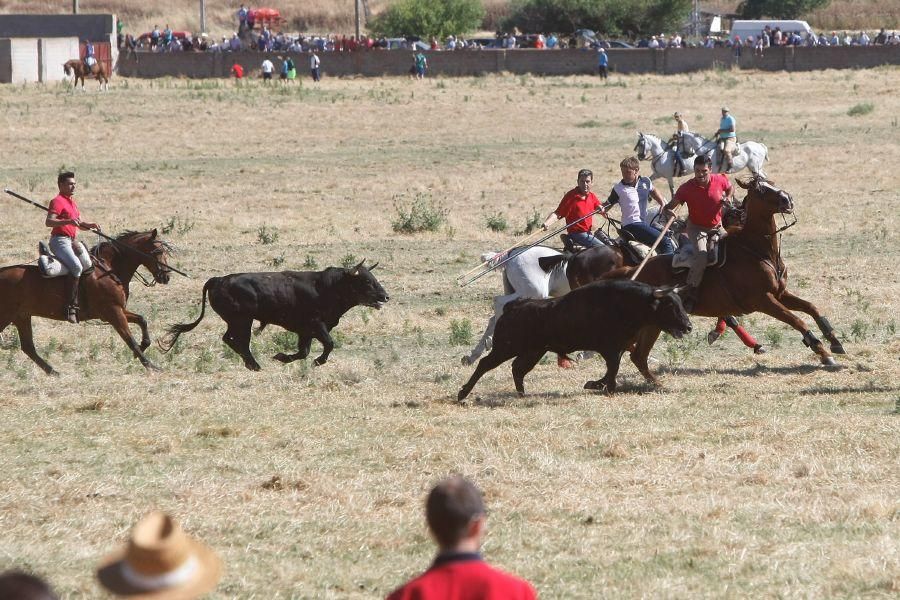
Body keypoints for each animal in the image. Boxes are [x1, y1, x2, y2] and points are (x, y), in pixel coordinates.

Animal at [0, 231, 172, 376]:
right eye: (158, 251)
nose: (166, 276)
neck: (108, 269)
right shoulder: (113, 312)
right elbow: (130, 339)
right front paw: (151, 365)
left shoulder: (118, 311)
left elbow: (142, 320)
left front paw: (142, 350)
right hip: (7, 316)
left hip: (22, 317)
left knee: (28, 347)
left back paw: (53, 372)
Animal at [460, 280, 692, 400]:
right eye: (670, 305)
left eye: (681, 302)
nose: (688, 326)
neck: (626, 305)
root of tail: (513, 306)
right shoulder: (610, 349)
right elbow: (613, 369)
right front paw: (599, 386)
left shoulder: (617, 349)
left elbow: (613, 369)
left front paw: (600, 385)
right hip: (505, 348)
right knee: (485, 364)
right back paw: (463, 393)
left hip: (533, 352)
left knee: (518, 369)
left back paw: (522, 395)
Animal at [604, 176, 844, 386]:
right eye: (761, 190)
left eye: (772, 182)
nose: (787, 199)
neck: (756, 251)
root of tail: (632, 270)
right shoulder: (763, 301)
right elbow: (797, 320)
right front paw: (821, 351)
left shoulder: (780, 294)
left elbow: (811, 308)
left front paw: (834, 343)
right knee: (635, 352)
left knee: (637, 355)